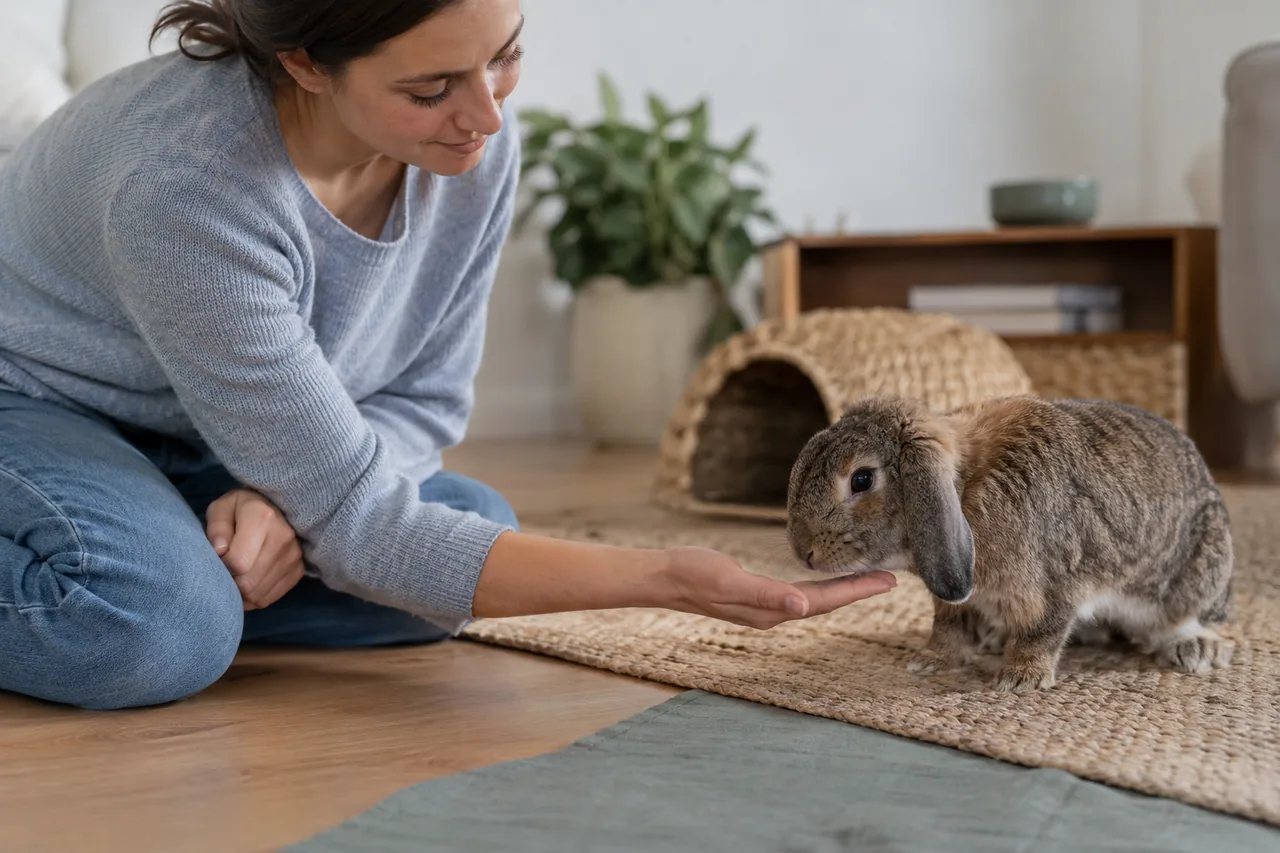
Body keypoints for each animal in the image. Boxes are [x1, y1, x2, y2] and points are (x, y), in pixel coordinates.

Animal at [785, 393, 1234, 693]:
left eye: (861, 479)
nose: (803, 552)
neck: (965, 489)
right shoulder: (956, 595)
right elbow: (948, 629)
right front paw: (930, 663)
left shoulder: (1054, 587)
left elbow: (1041, 632)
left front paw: (1019, 681)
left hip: (1195, 576)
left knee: (1179, 620)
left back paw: (1194, 649)